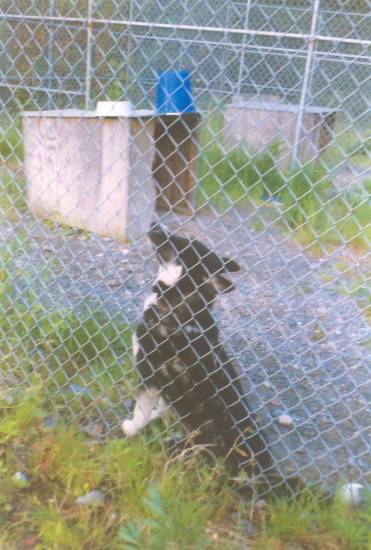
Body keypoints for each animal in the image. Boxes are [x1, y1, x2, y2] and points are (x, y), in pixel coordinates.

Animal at [123, 224, 274, 474]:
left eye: (183, 242)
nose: (155, 224)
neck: (179, 308)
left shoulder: (149, 375)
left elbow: (140, 413)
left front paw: (131, 428)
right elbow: (159, 407)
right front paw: (156, 415)